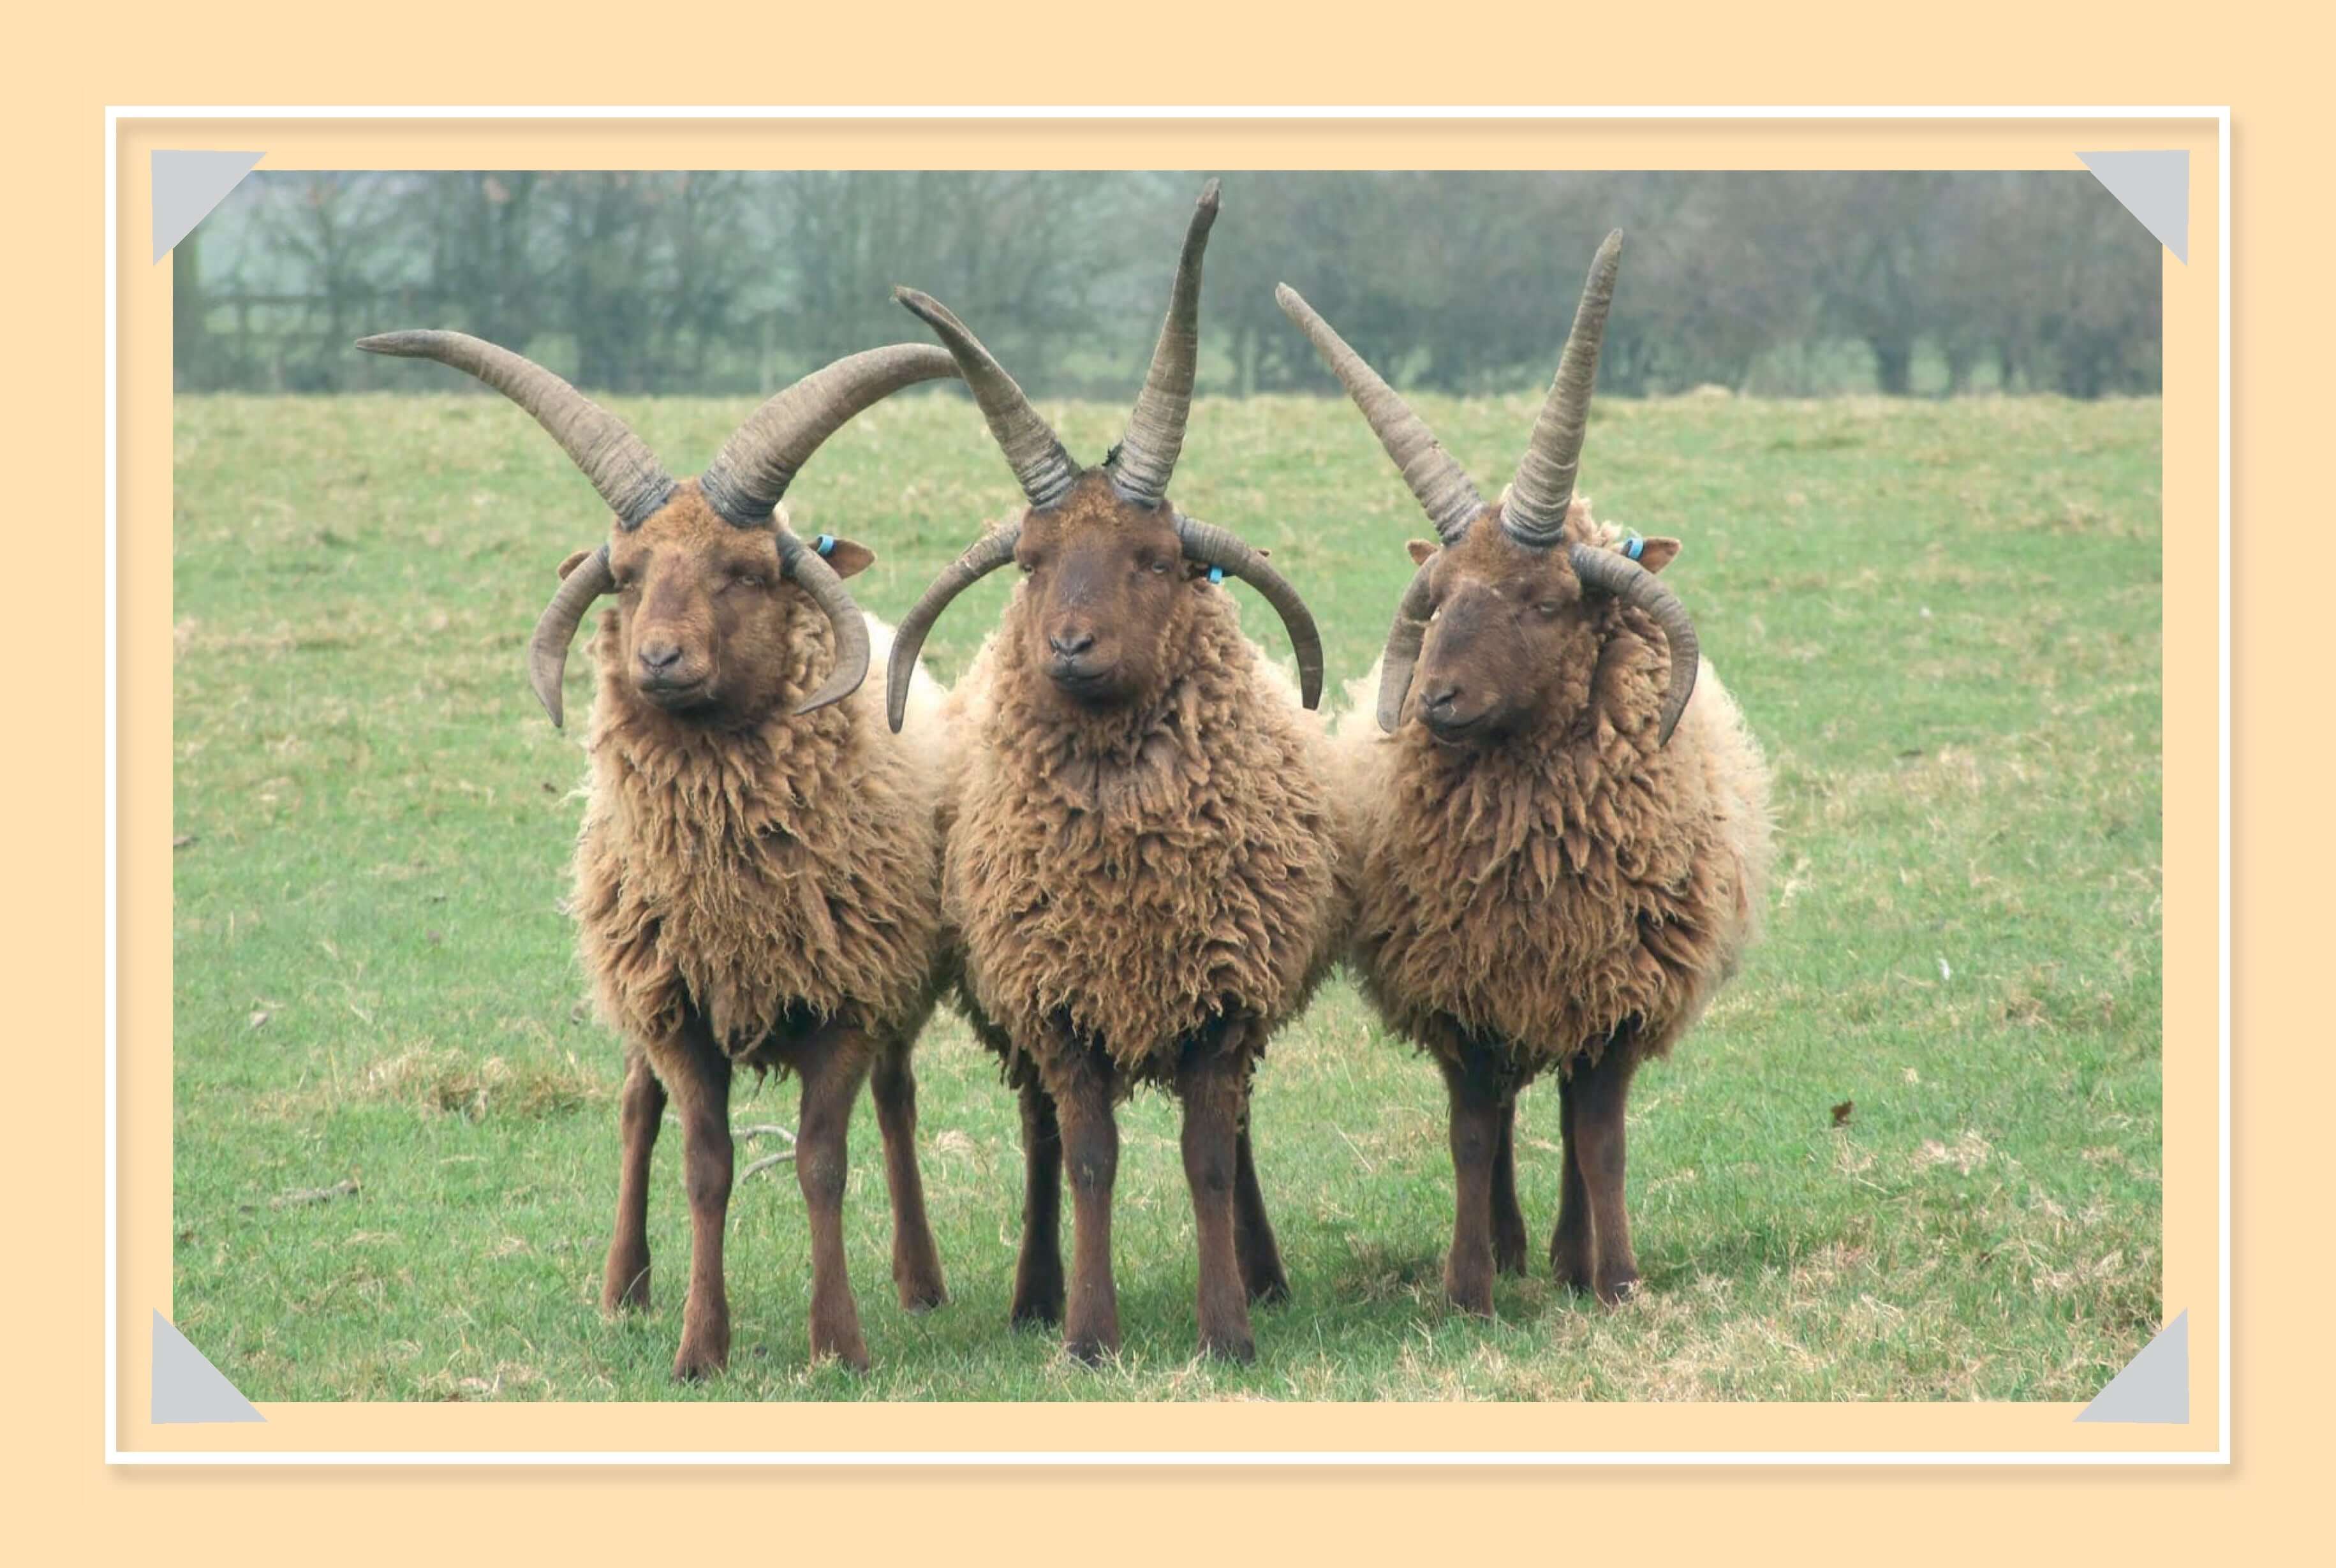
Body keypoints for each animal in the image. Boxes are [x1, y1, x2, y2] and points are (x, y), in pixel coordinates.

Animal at [356, 328, 960, 1377]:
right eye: (627, 574)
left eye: (747, 571)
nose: (659, 660)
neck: (734, 883)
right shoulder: (676, 1008)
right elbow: (704, 1164)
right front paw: (698, 1345)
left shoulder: (850, 997)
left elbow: (822, 1161)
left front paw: (837, 1342)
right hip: (635, 970)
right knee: (637, 1111)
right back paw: (623, 1286)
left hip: (893, 983)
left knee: (896, 1102)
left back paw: (919, 1282)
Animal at [882, 181, 1346, 1363]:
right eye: (1032, 563)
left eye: (1154, 560)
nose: (1070, 646)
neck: (1128, 867)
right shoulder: (1060, 1006)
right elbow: (1088, 1155)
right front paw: (1088, 1332)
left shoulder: (1223, 999)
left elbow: (1210, 1158)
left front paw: (1227, 1328)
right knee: (1041, 1138)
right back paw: (1033, 1294)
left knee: (1237, 1135)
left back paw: (1265, 1274)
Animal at [1279, 231, 1775, 1315]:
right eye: (1440, 598)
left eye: (1548, 603)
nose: (1434, 701)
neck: (1536, 859)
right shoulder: (1462, 987)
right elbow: (1471, 1133)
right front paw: (1468, 1286)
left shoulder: (1620, 992)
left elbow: (1601, 1140)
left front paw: (1617, 1280)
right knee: (1508, 1110)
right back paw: (1512, 1249)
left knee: (1565, 1123)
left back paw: (1567, 1255)